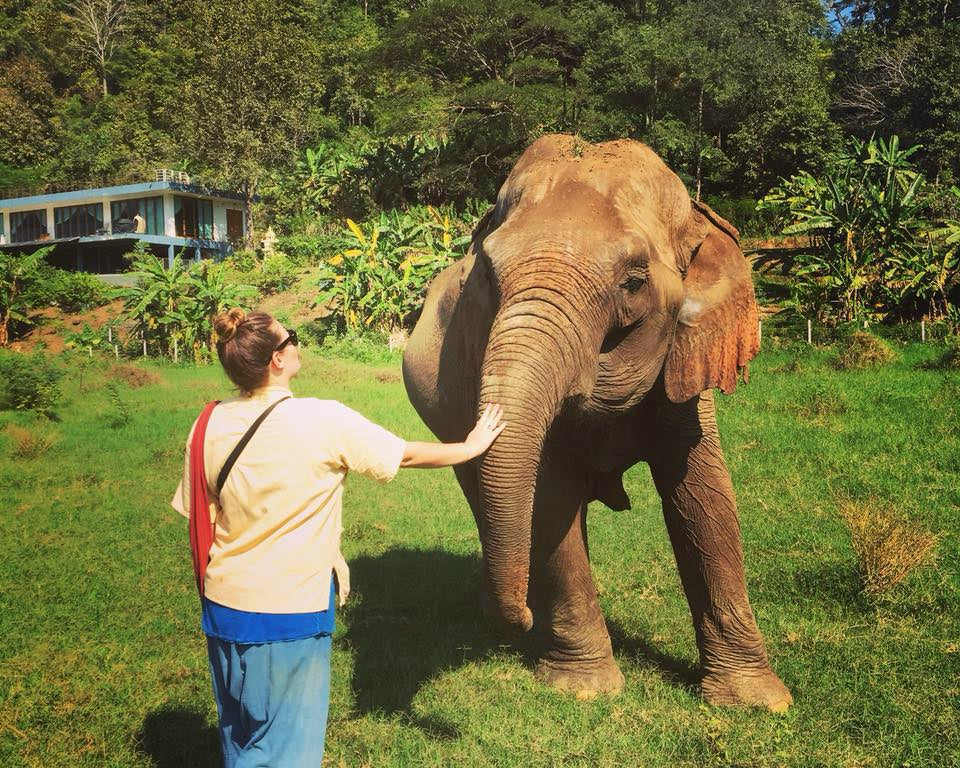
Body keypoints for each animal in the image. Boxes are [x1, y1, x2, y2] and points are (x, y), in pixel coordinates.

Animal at [402, 134, 792, 711]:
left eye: (633, 281)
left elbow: (703, 495)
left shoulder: (686, 372)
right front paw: (582, 688)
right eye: (489, 277)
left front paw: (757, 700)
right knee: (482, 492)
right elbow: (551, 495)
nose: (521, 620)